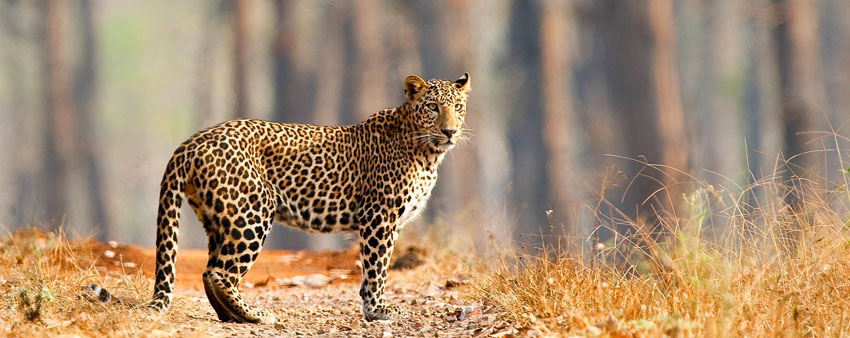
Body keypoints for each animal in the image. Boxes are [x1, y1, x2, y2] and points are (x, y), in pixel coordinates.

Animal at [147, 72, 470, 324]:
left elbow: (373, 270)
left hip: (219, 219)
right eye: (433, 107)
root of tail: (192, 142)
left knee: (208, 273)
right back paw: (255, 315)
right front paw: (378, 310)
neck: (427, 154)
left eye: (458, 107)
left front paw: (371, 308)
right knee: (219, 273)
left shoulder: (391, 223)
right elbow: (377, 268)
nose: (450, 131)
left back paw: (233, 316)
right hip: (251, 214)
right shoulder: (380, 218)